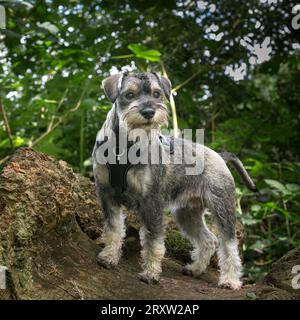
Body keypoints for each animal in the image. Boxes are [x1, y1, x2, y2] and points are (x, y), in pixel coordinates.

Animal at [92, 70, 256, 290]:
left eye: (156, 93)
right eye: (129, 94)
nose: (148, 112)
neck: (124, 147)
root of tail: (220, 156)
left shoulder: (151, 202)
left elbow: (153, 242)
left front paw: (150, 273)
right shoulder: (107, 195)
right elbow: (113, 229)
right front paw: (109, 256)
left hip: (223, 208)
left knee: (229, 244)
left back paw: (230, 280)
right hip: (186, 213)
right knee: (209, 240)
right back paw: (195, 268)